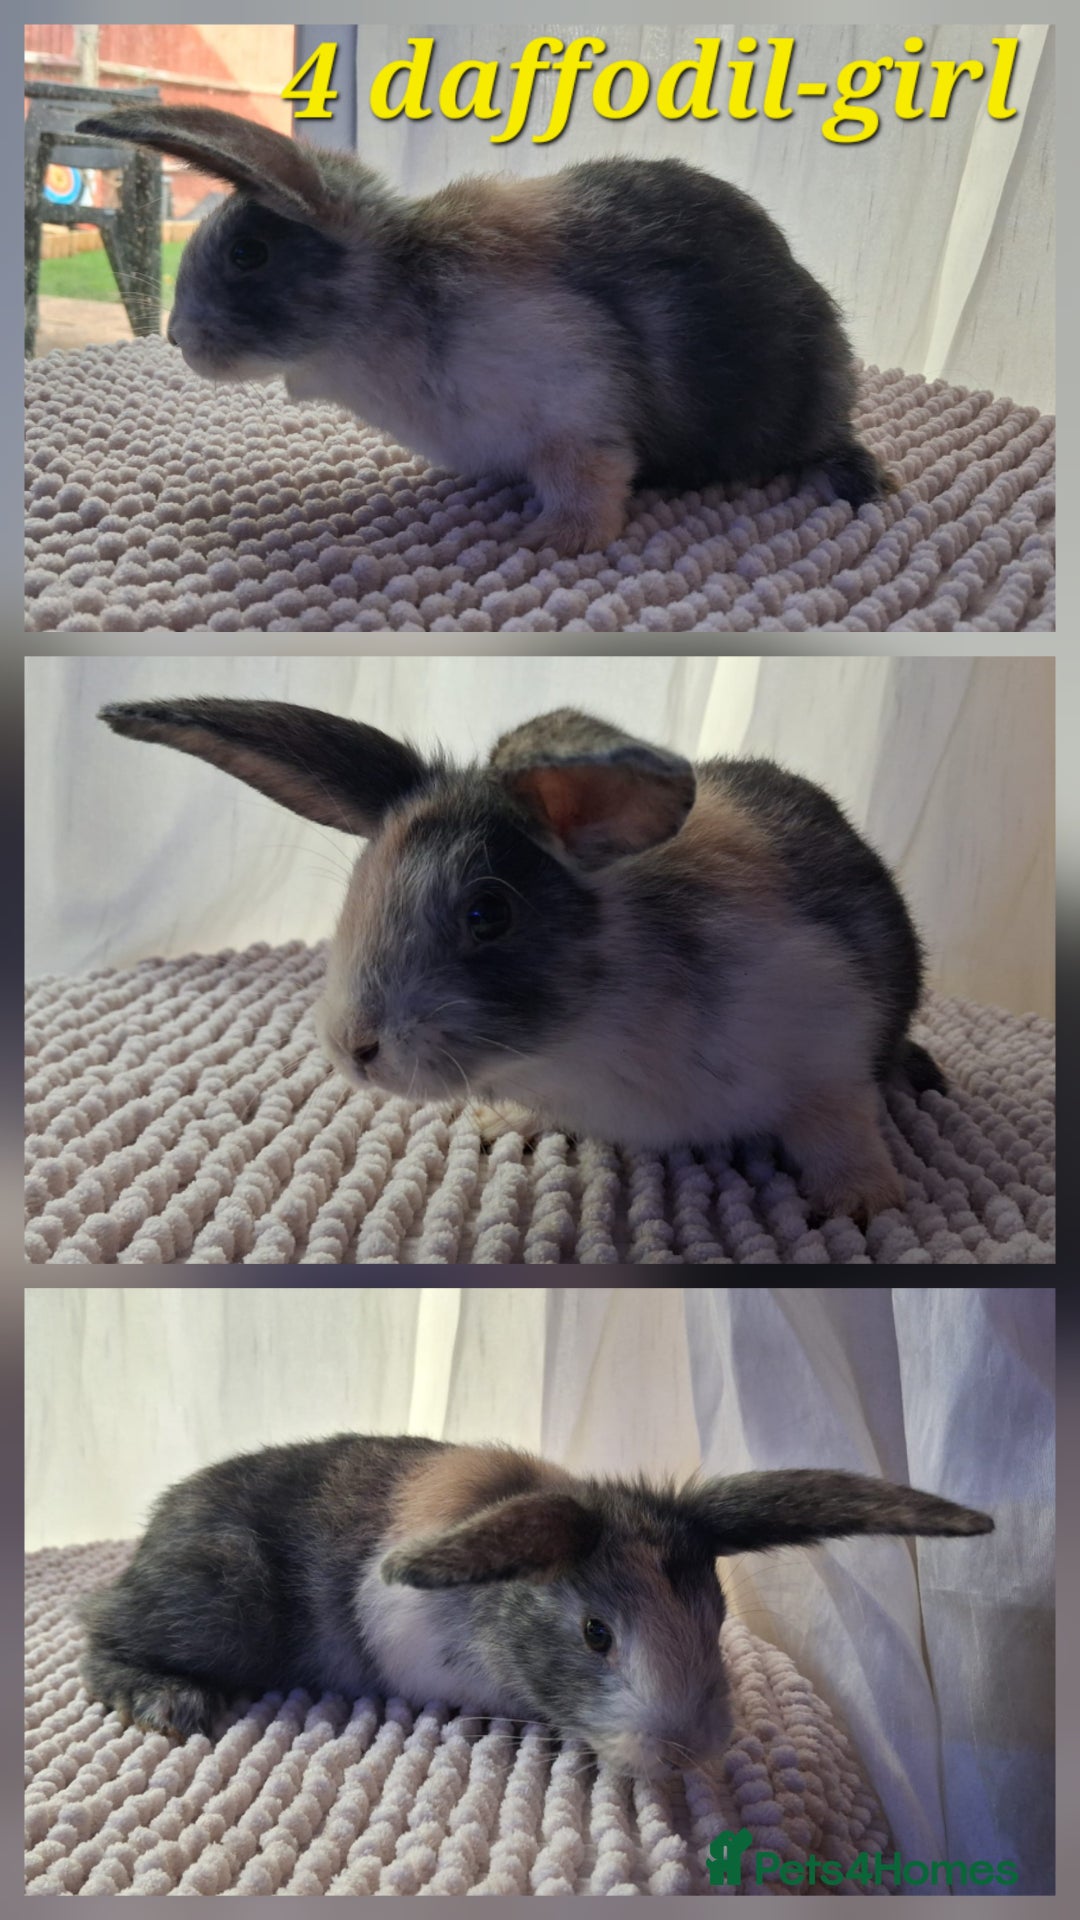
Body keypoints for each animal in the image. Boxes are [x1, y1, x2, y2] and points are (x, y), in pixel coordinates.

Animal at [75, 103, 892, 557]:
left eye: (249, 254)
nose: (177, 337)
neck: (387, 296)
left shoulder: (576, 409)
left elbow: (591, 480)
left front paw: (554, 540)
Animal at [79, 1433, 993, 1774]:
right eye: (595, 1634)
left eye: (717, 1619)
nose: (687, 1752)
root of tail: (162, 1519)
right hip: (222, 1602)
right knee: (95, 1630)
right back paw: (166, 1701)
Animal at [99, 697, 945, 1223]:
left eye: (488, 914)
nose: (352, 1047)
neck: (593, 1032)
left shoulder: (828, 1051)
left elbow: (837, 1128)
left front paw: (863, 1202)